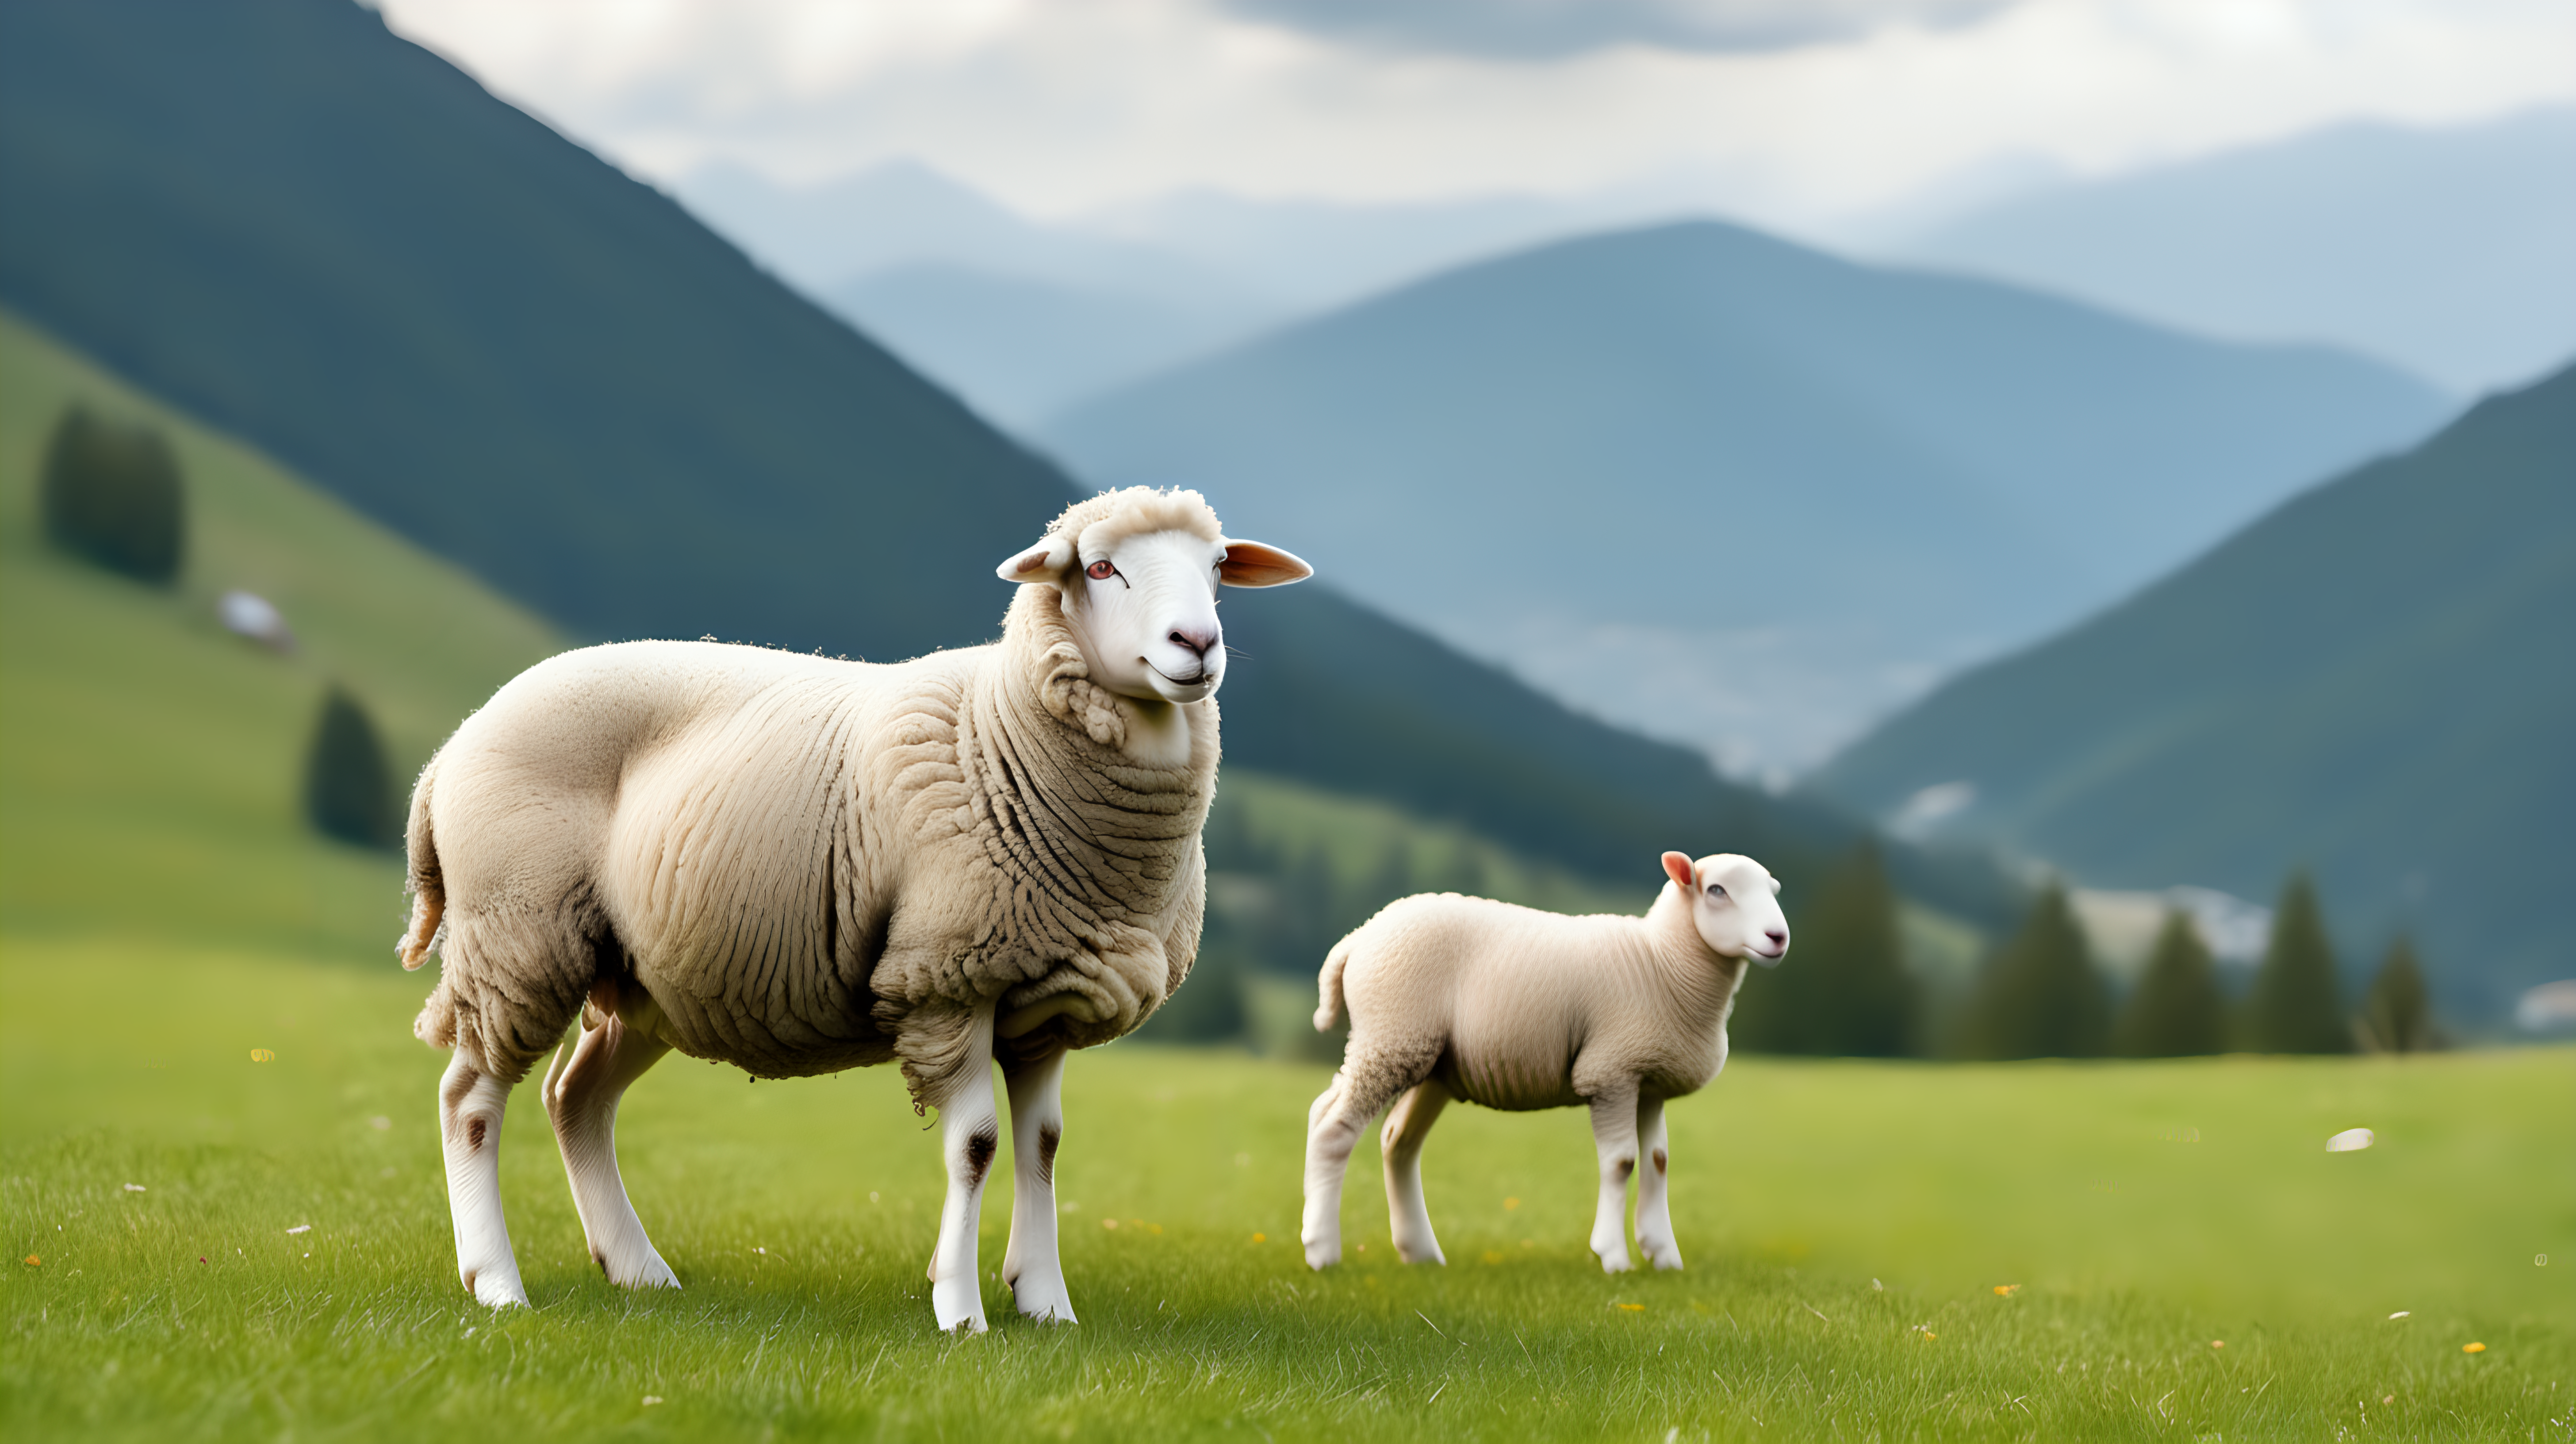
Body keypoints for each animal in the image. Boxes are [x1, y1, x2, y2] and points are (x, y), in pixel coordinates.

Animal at [391, 484, 1319, 1330]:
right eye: (1098, 567)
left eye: (1216, 570)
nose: (1196, 644)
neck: (1000, 728)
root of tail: (449, 748)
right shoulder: (947, 977)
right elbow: (977, 1144)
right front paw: (960, 1309)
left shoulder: (1051, 995)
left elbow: (1043, 1144)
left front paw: (1046, 1302)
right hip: (518, 931)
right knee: (469, 1097)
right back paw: (497, 1281)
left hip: (642, 974)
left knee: (574, 1096)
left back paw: (637, 1268)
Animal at [1298, 851, 1782, 1268]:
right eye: (1716, 890)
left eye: (1774, 889)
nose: (1779, 938)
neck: (1662, 961)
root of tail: (1358, 937)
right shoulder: (1609, 1073)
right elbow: (1622, 1163)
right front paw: (1614, 1256)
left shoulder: (1649, 1083)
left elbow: (1658, 1162)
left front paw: (1663, 1255)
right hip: (1392, 1037)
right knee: (1334, 1127)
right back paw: (1322, 1250)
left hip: (1425, 1062)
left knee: (1392, 1138)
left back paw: (1420, 1253)